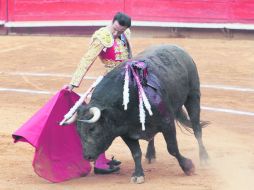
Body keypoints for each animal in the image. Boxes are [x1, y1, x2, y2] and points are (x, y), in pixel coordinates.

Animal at [74, 44, 207, 183]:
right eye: (78, 131)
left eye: (93, 129)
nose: (87, 156)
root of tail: (179, 49)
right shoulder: (125, 132)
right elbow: (136, 153)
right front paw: (138, 174)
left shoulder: (167, 123)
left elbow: (172, 148)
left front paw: (188, 167)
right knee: (152, 137)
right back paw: (150, 155)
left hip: (193, 95)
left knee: (197, 128)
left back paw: (204, 158)